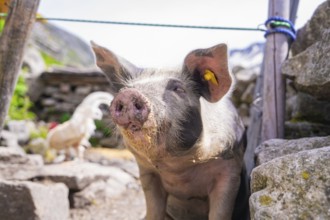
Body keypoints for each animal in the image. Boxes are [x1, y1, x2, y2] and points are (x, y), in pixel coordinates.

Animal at [91, 41, 248, 220]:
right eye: (128, 88)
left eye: (178, 89)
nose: (128, 94)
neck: (177, 167)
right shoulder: (147, 172)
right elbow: (153, 211)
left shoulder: (230, 169)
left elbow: (220, 212)